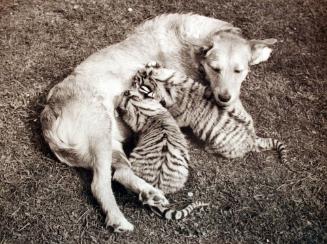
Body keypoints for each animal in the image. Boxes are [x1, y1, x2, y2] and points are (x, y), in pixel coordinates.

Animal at [40, 13, 276, 233]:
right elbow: (239, 112)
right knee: (100, 185)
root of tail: (48, 114)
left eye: (238, 71)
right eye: (215, 68)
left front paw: (263, 51)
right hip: (100, 131)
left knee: (120, 174)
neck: (195, 43)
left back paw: (149, 193)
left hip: (112, 146)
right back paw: (119, 219)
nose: (224, 97)